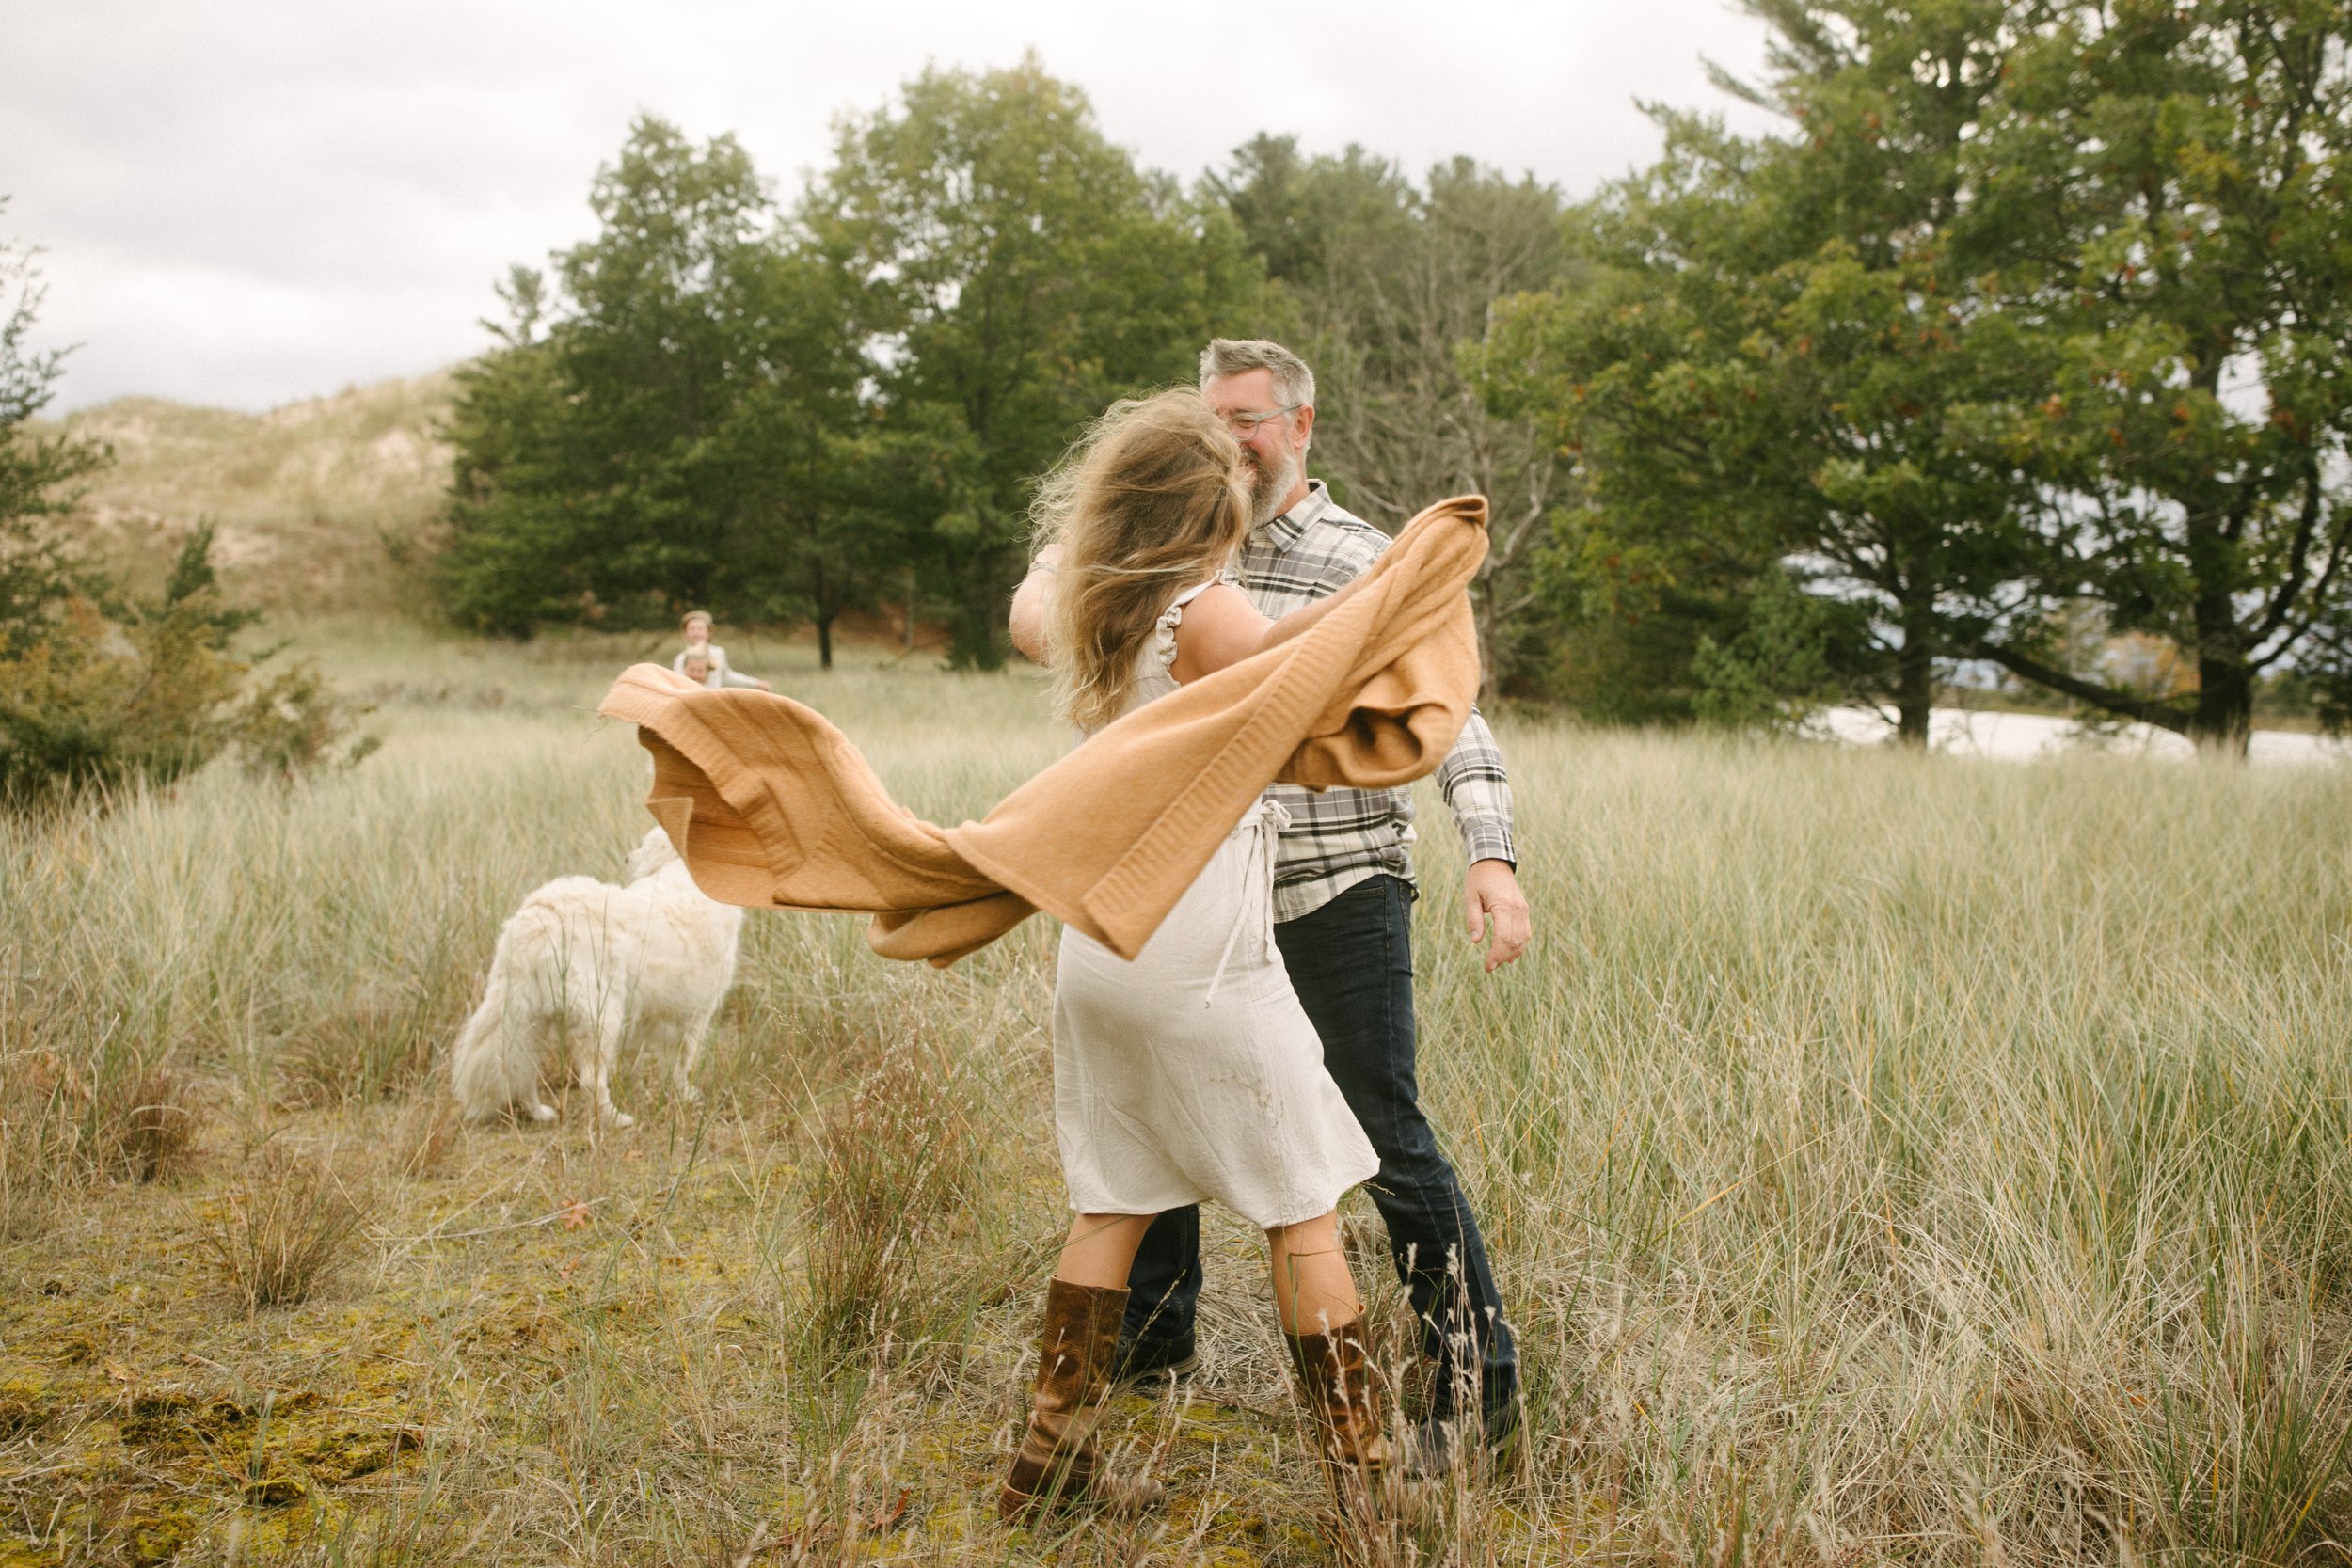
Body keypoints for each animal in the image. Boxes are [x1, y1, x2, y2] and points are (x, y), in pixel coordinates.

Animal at [449, 822, 743, 1128]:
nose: (626, 859)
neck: (678, 871)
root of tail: (539, 918)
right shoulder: (694, 1013)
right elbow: (682, 1061)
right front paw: (685, 1094)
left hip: (526, 1015)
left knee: (521, 1067)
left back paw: (539, 1112)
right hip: (600, 1017)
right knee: (591, 1080)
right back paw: (616, 1119)